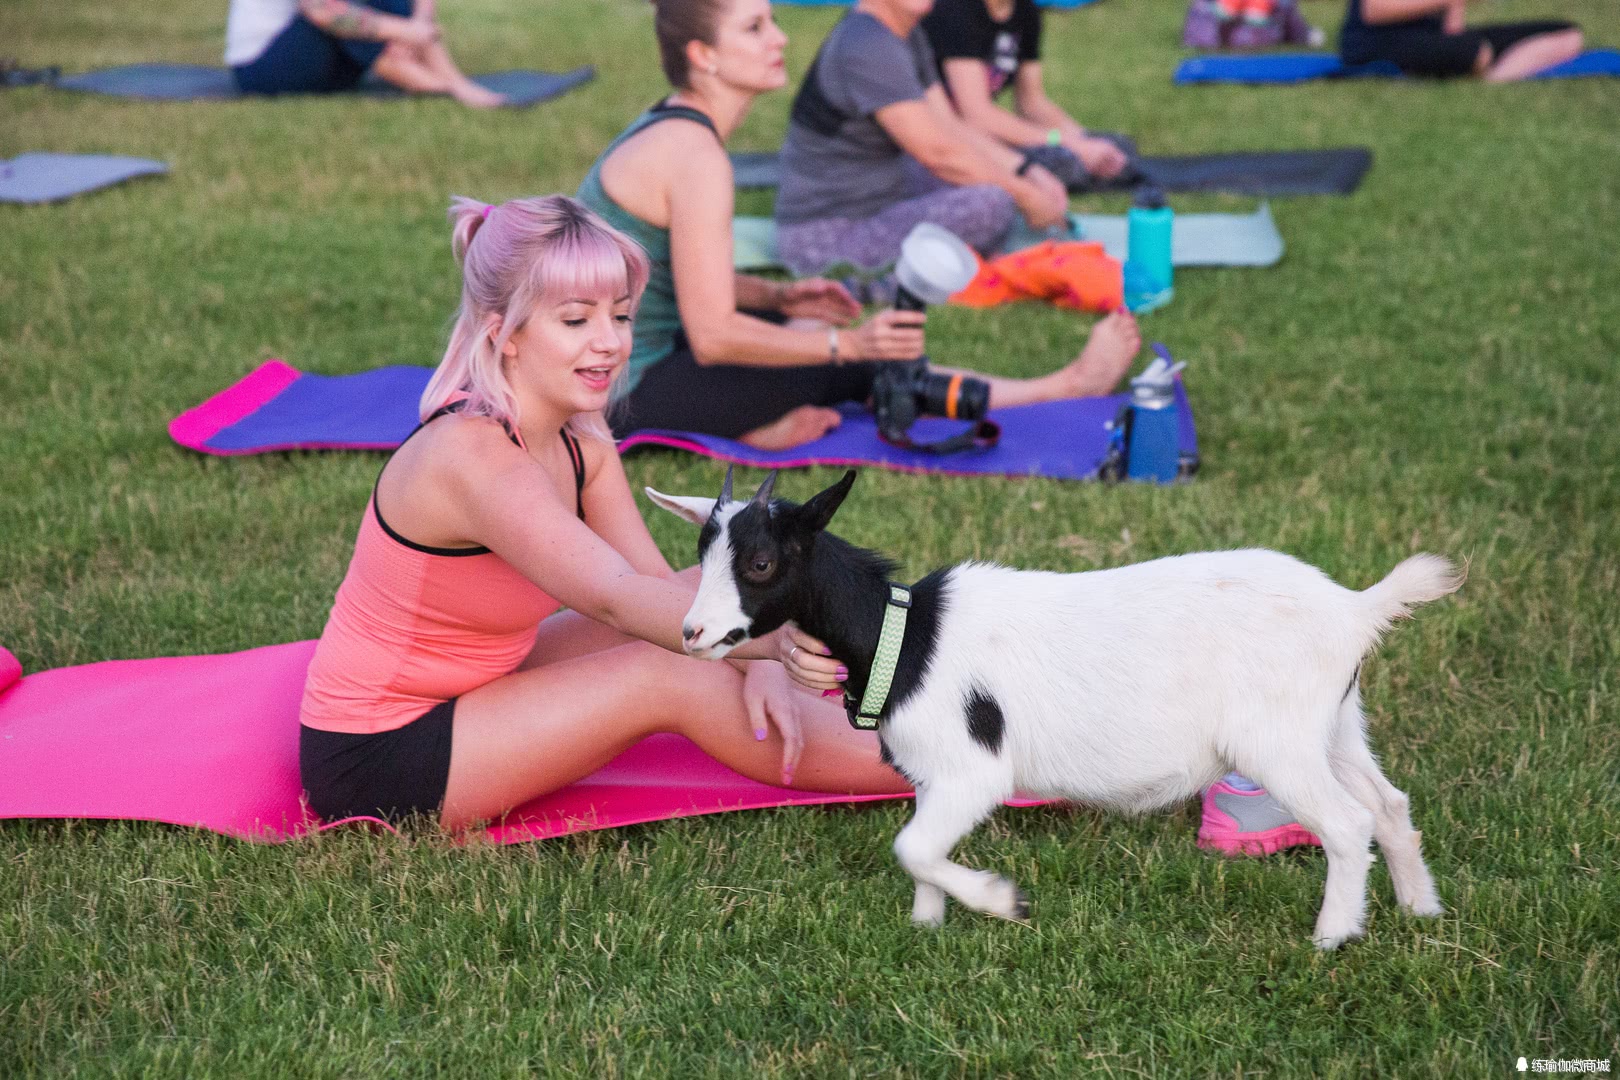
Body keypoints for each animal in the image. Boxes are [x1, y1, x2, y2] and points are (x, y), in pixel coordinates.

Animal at [648, 469, 1470, 952]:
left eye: (761, 563)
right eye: (702, 553)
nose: (690, 634)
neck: (904, 638)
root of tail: (1356, 610)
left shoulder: (972, 771)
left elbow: (911, 847)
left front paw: (999, 901)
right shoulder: (932, 778)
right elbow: (919, 850)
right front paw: (926, 927)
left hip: (1277, 739)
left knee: (1347, 823)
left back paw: (1333, 936)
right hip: (1333, 724)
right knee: (1389, 804)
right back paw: (1420, 910)